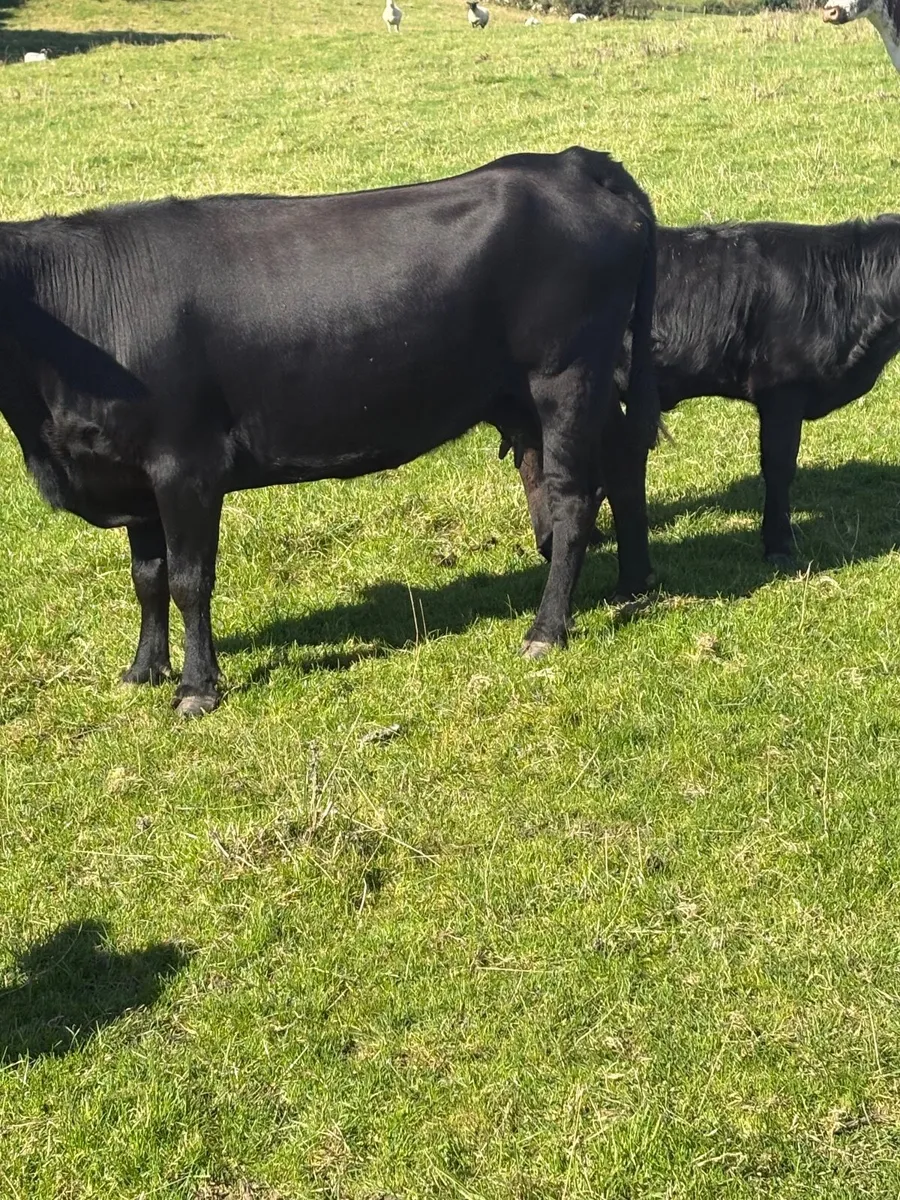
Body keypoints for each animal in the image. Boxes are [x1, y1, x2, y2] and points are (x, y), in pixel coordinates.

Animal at [0, 147, 659, 716]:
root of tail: (574, 162)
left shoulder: (185, 464)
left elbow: (189, 580)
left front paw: (196, 688)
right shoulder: (130, 475)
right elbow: (147, 578)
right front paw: (143, 670)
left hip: (567, 376)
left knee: (575, 500)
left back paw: (547, 630)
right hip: (560, 390)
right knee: (621, 467)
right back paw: (635, 586)